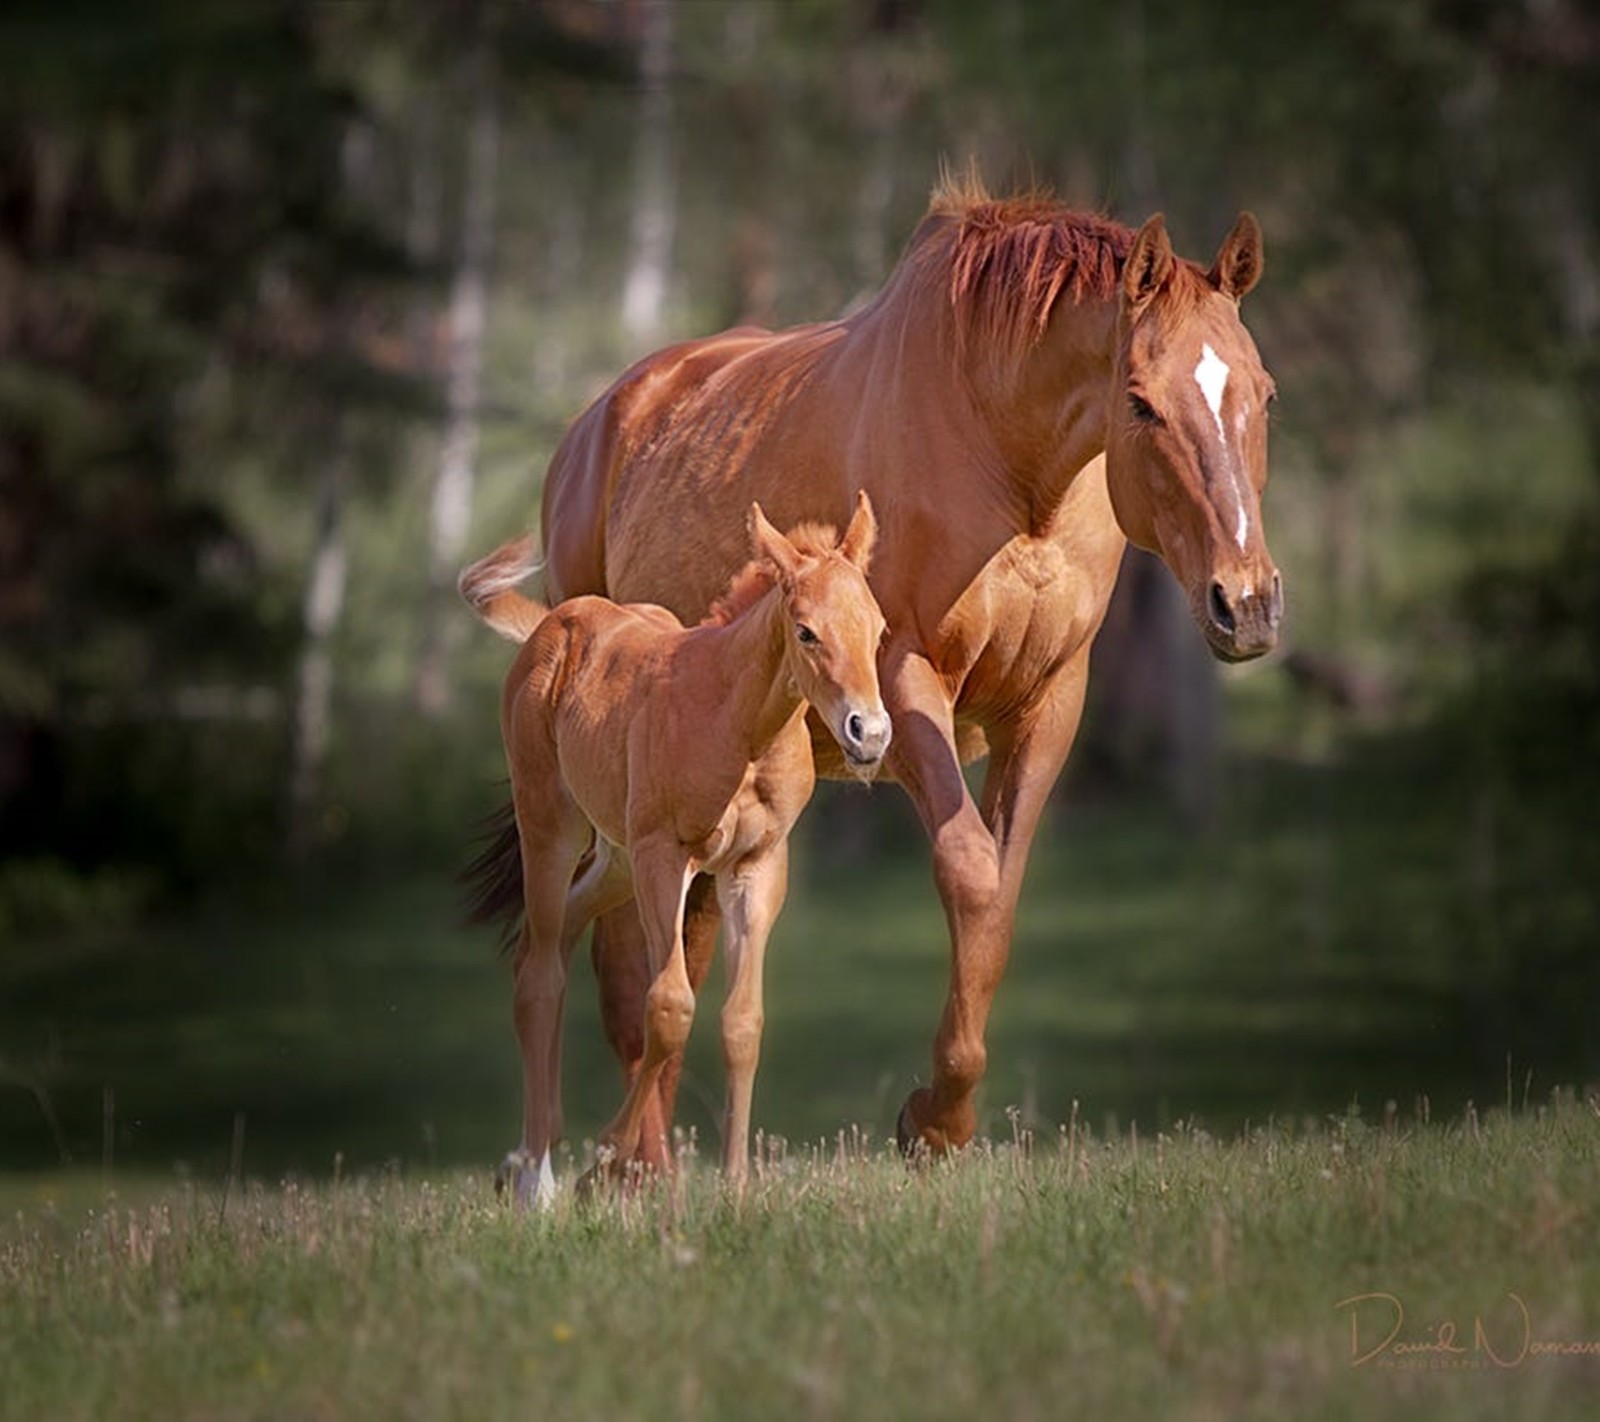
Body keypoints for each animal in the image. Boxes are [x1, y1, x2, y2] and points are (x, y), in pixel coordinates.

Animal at [467, 175, 1280, 1151]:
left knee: (677, 946)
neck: (1004, 456)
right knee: (625, 963)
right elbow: (969, 873)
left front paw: (941, 1119)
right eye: (1142, 402)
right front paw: (936, 1119)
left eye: (1266, 394)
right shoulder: (903, 684)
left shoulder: (1049, 703)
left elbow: (999, 895)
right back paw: (636, 1161)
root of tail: (599, 423)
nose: (1246, 602)